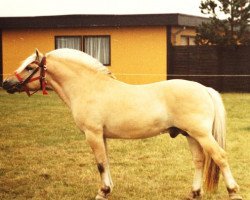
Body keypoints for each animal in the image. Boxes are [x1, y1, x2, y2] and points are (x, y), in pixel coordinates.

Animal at [2, 48, 242, 200]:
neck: (88, 87)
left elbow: (100, 163)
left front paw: (103, 191)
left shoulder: (93, 134)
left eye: (30, 67)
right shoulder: (102, 136)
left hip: (201, 134)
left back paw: (233, 192)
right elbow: (106, 162)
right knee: (199, 161)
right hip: (190, 135)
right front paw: (108, 189)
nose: (6, 83)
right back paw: (194, 193)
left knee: (220, 157)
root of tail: (204, 89)